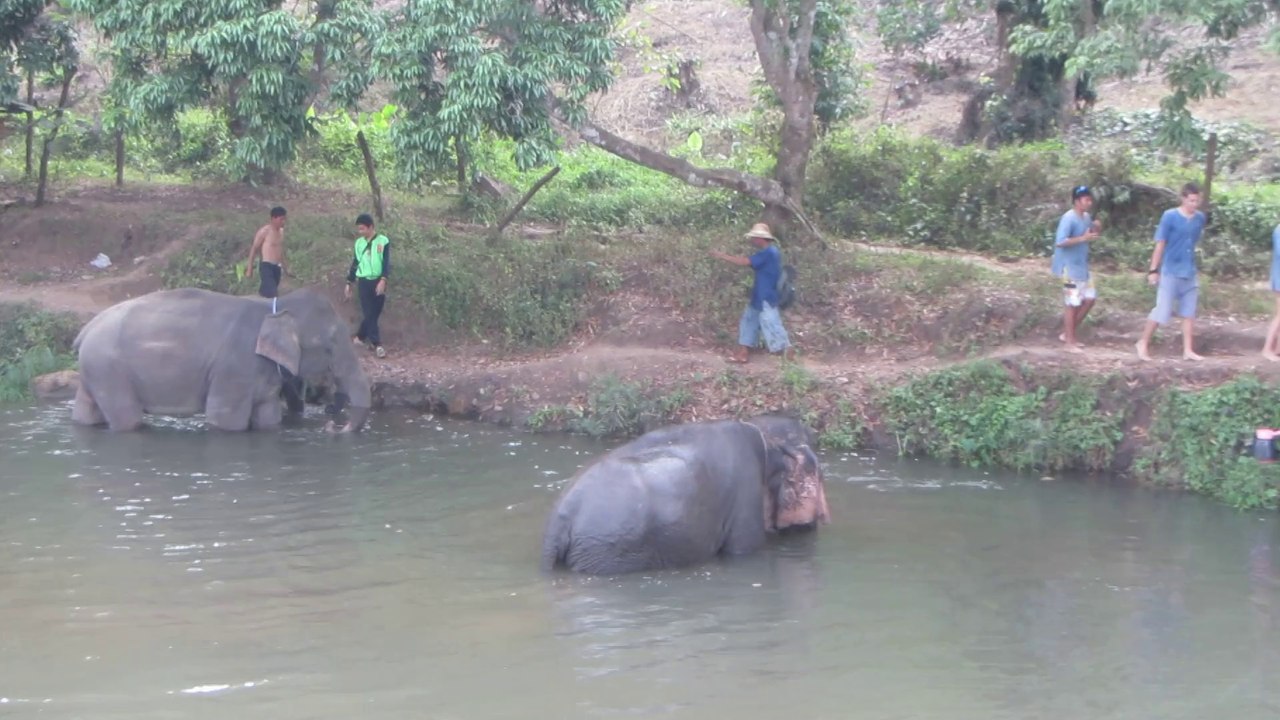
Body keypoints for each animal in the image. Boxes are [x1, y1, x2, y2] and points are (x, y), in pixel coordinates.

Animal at [71, 287, 372, 432]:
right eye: (330, 344)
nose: (333, 423)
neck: (274, 306)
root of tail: (86, 329)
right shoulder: (235, 367)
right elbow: (226, 420)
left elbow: (268, 416)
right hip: (109, 370)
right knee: (127, 418)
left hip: (94, 371)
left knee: (87, 412)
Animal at [541, 415, 831, 575]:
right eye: (820, 474)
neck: (768, 441)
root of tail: (558, 522)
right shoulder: (746, 496)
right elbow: (743, 549)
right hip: (608, 551)